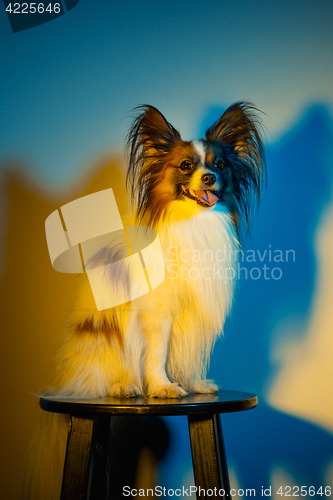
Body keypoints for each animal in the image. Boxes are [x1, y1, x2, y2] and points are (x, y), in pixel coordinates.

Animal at [21, 102, 264, 500]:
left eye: (220, 164)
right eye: (186, 165)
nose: (209, 178)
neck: (191, 222)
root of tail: (65, 382)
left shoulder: (190, 316)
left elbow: (184, 352)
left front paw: (192, 384)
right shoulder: (157, 314)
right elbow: (156, 353)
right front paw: (162, 387)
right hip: (100, 345)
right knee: (100, 380)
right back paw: (125, 386)